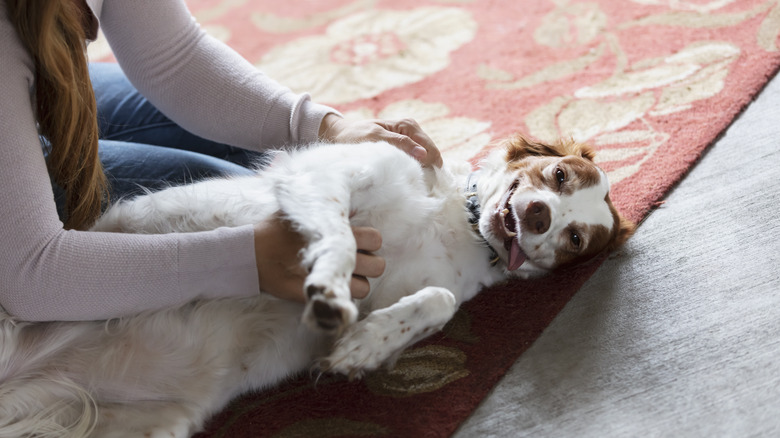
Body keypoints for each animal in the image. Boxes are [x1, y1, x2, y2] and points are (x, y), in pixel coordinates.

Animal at [0, 135, 632, 436]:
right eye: (558, 175)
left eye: (576, 238)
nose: (541, 219)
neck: (457, 221)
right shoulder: (328, 175)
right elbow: (342, 238)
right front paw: (328, 288)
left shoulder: (414, 288)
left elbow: (439, 301)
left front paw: (361, 347)